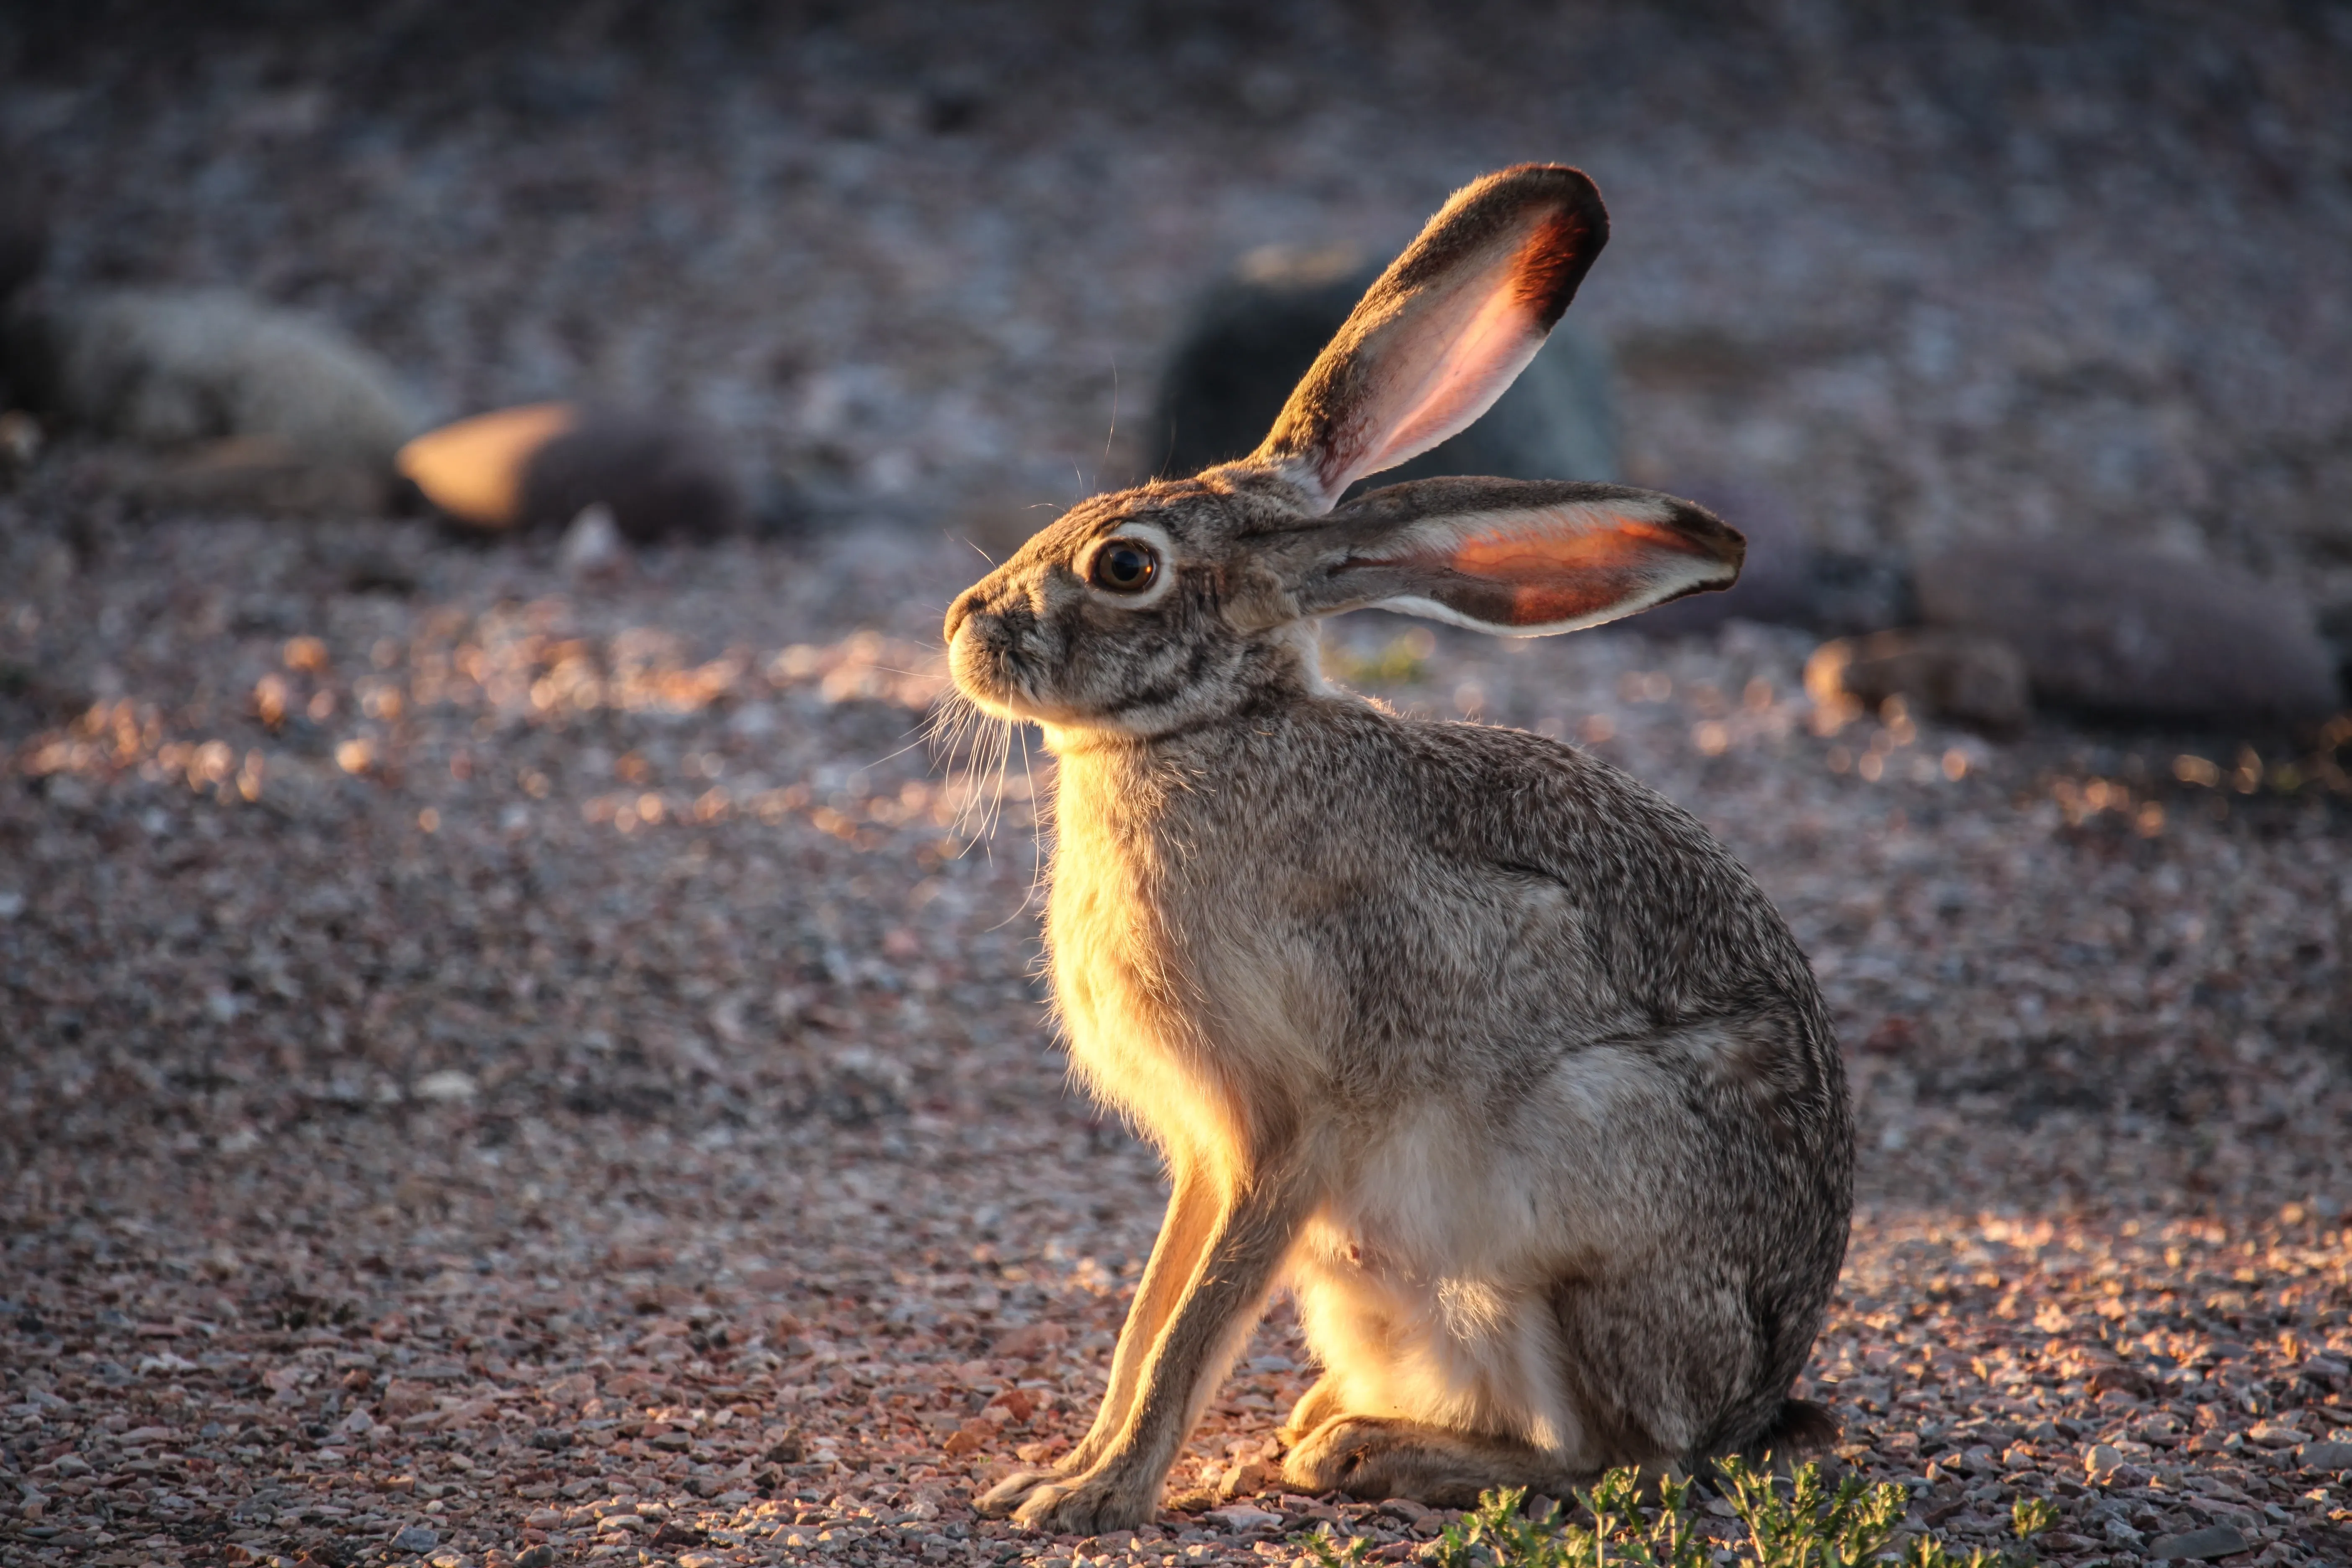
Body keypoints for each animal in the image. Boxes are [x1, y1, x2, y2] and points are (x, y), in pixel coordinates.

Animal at [945, 164, 1852, 1535]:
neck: (1213, 729)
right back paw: (1320, 1430)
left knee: (1616, 1456)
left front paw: (1097, 1499)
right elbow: (1152, 1312)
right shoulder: (1207, 1152)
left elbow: (1198, 1319)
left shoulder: (1295, 1124)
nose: (962, 630)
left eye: (1125, 565)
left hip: (1567, 1221)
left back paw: (1364, 1452)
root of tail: (1758, 1401)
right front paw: (1059, 1470)